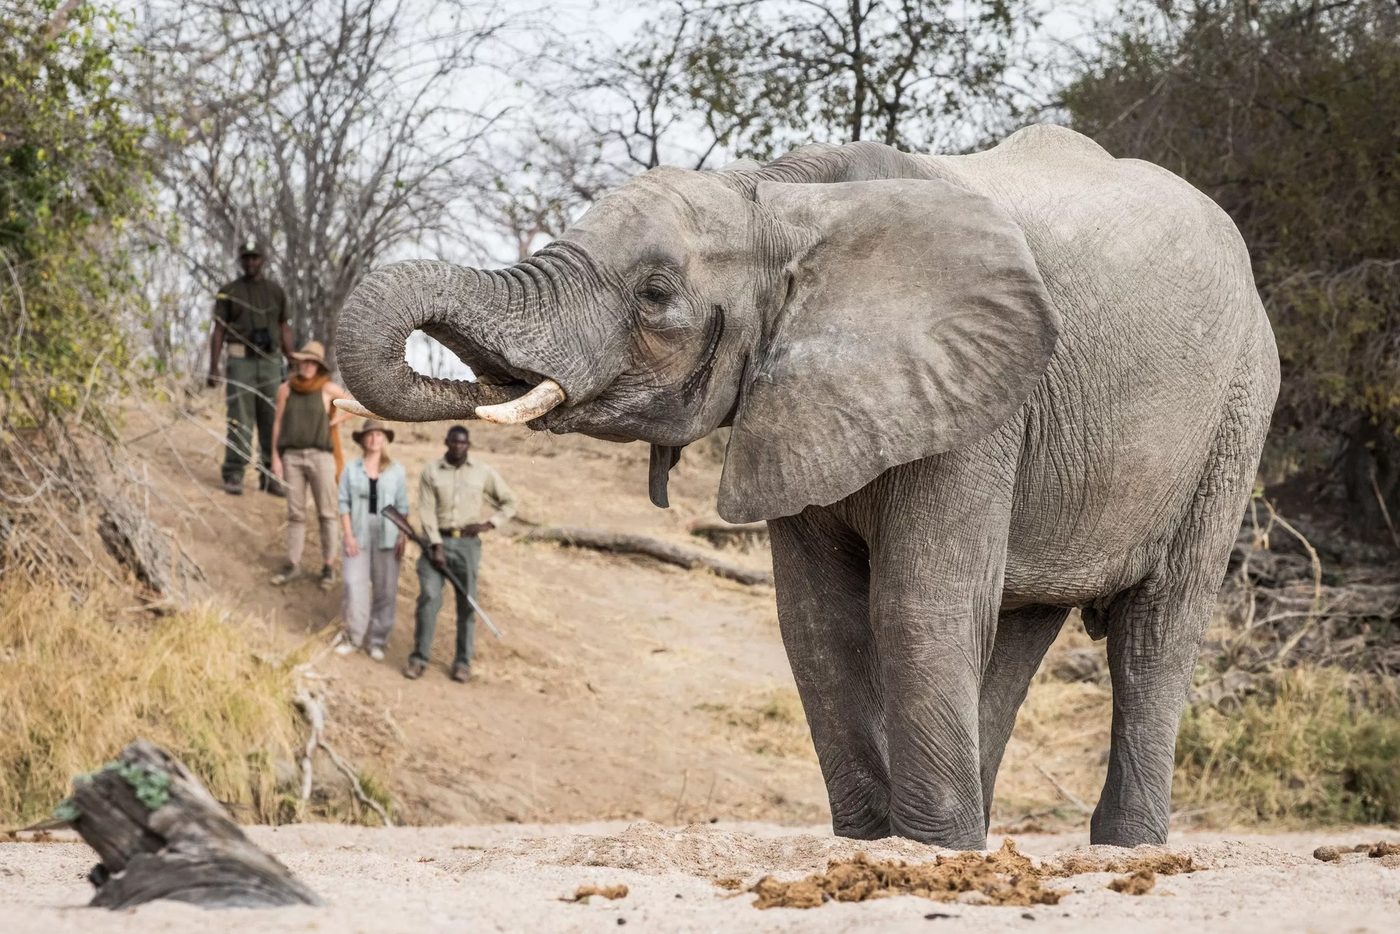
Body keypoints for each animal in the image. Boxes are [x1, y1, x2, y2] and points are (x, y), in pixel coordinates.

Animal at [333, 124, 1280, 849]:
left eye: (655, 295)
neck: (775, 200)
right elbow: (816, 621)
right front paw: (878, 844)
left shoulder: (977, 394)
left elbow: (917, 604)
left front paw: (931, 852)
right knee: (1018, 629)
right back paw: (990, 824)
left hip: (1237, 413)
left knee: (1155, 632)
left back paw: (1121, 846)